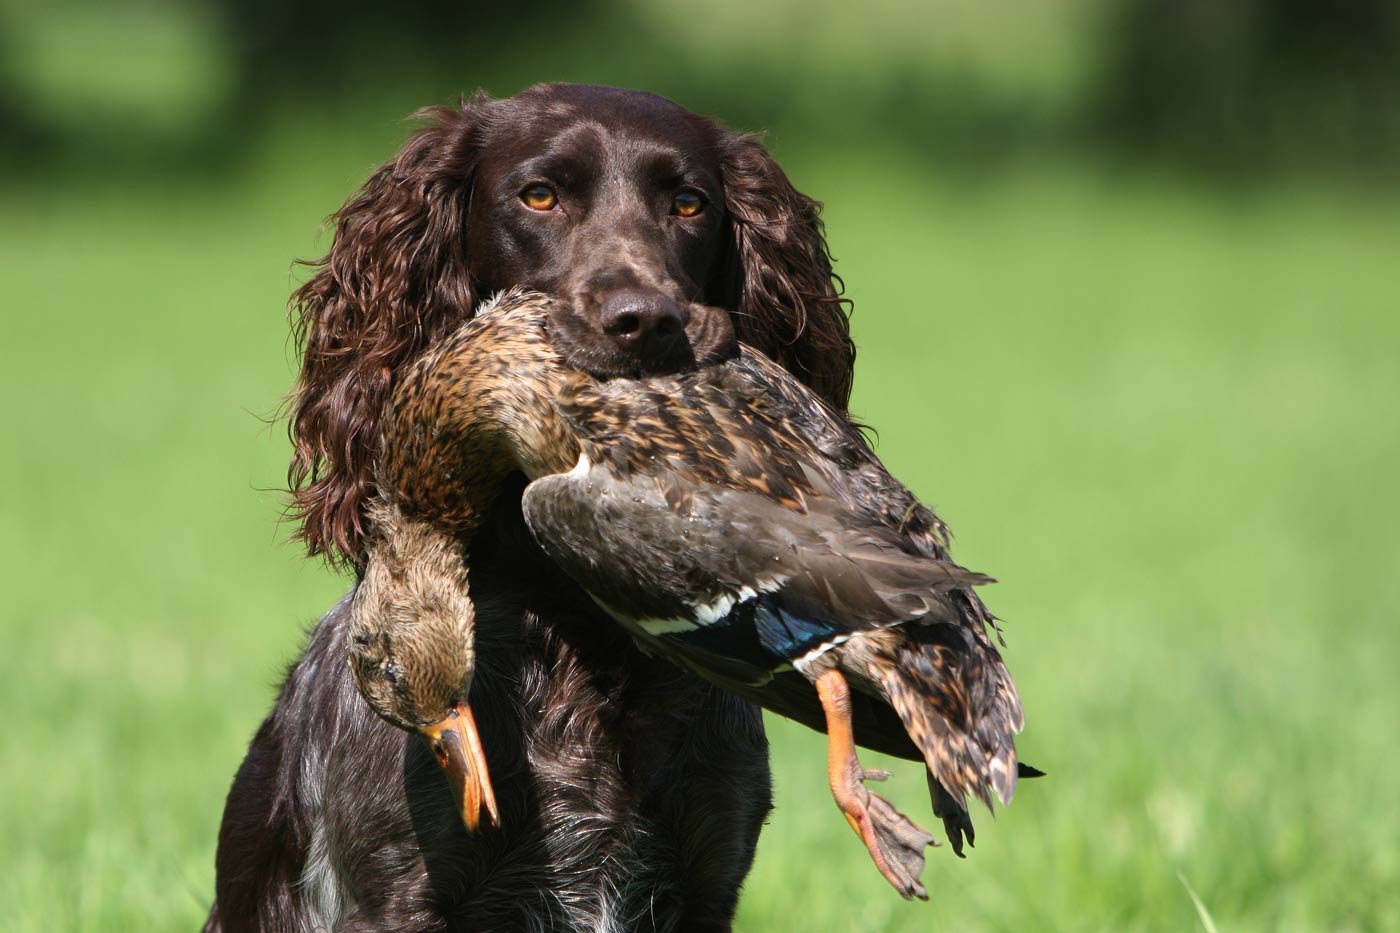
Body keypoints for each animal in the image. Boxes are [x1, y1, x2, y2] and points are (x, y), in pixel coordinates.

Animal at [208, 83, 856, 924]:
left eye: (688, 203)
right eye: (540, 195)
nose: (646, 320)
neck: (581, 635)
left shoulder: (711, 871)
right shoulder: (395, 890)